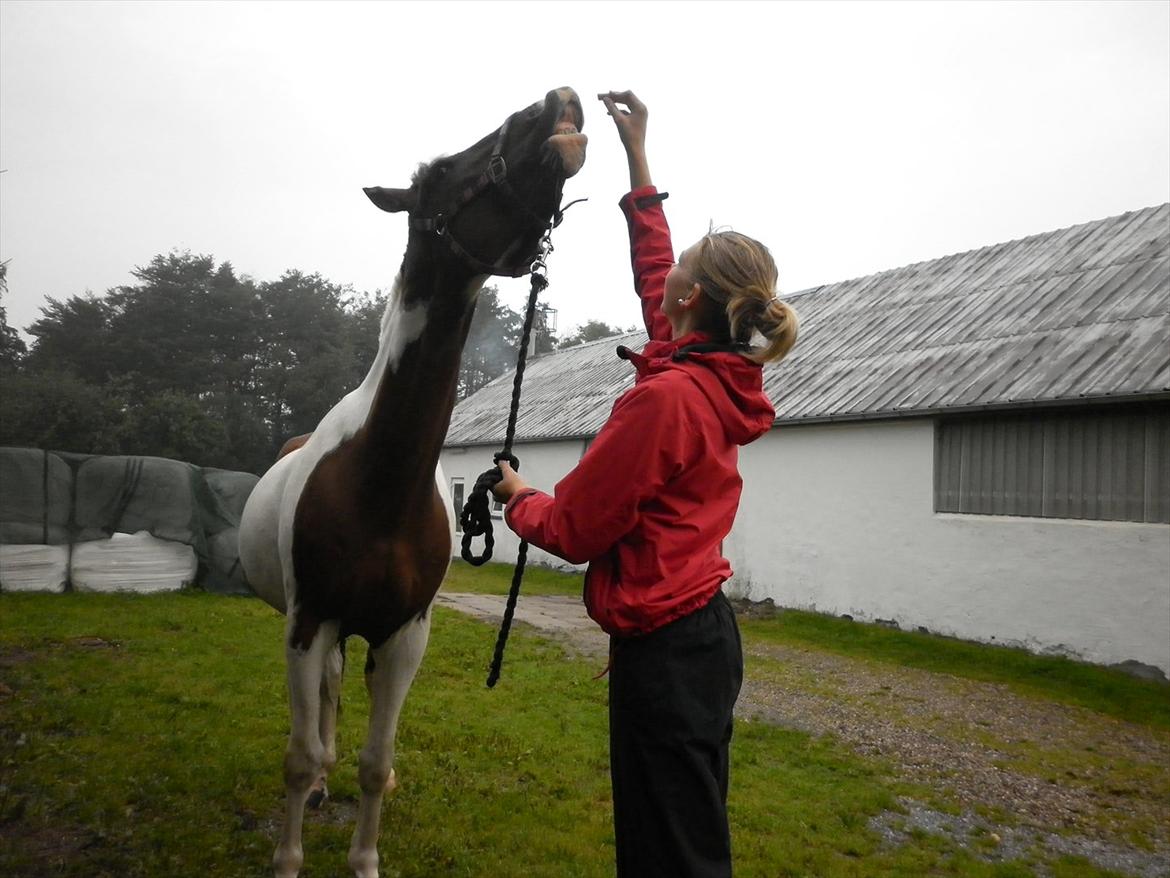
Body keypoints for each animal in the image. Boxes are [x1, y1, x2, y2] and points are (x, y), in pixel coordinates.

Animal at [236, 87, 585, 878]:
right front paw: (289, 855)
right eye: (439, 172)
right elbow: (298, 758)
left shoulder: (404, 635)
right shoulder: (307, 621)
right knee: (325, 706)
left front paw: (364, 859)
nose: (555, 102)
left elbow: (376, 763)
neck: (378, 481)